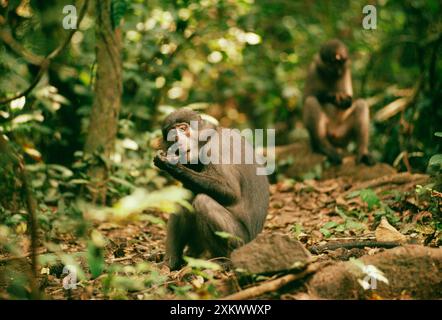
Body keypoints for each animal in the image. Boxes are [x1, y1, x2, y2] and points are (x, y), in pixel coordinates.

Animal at [154, 108, 268, 270]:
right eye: (171, 134)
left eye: (183, 128)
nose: (177, 139)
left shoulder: (214, 150)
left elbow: (231, 192)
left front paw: (170, 163)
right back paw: (173, 260)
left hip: (240, 239)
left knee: (203, 201)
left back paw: (224, 260)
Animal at [302, 38, 374, 166]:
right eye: (333, 62)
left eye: (341, 63)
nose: (338, 70)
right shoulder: (313, 68)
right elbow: (306, 97)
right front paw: (334, 96)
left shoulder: (346, 71)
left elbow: (350, 100)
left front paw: (344, 100)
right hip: (328, 131)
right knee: (310, 101)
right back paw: (323, 147)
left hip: (343, 136)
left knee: (362, 104)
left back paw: (362, 153)